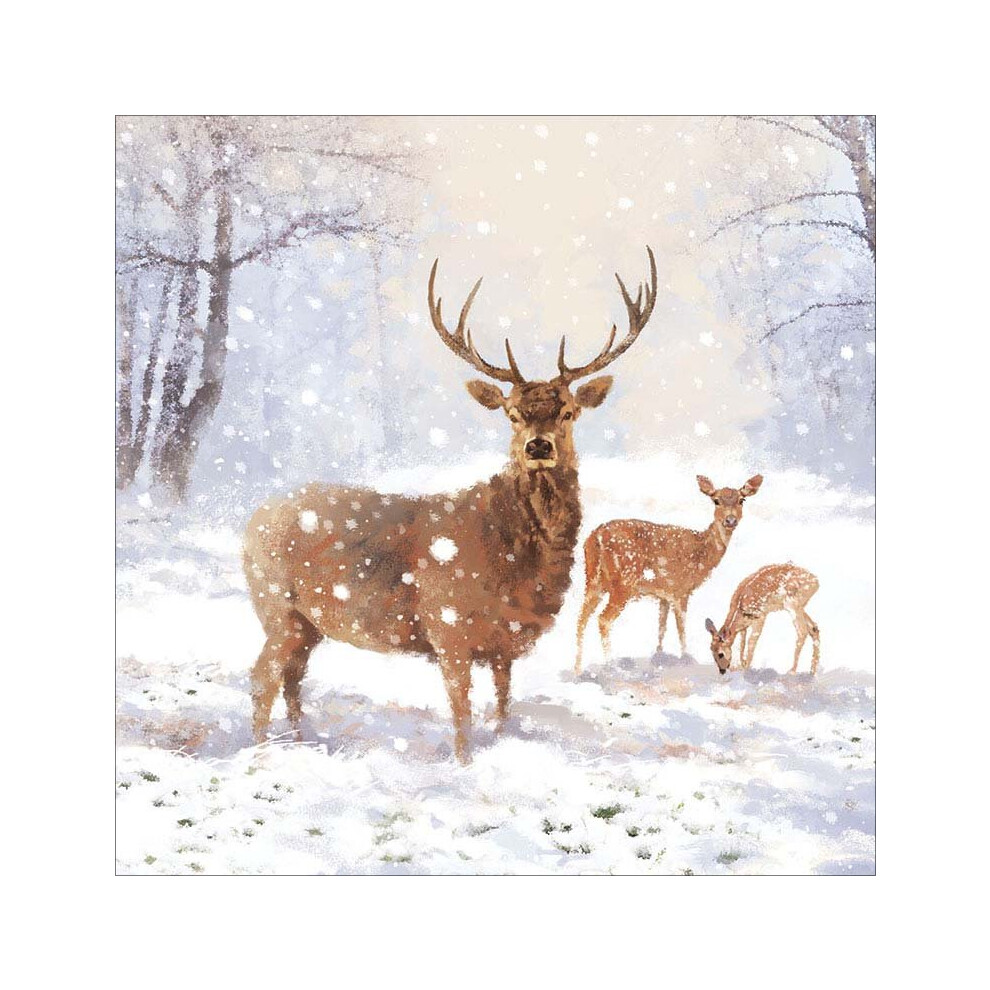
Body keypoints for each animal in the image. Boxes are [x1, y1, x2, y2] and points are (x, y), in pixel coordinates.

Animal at [243, 248, 659, 762]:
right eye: (512, 413)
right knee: (262, 677)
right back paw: (261, 755)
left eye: (567, 411)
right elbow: (461, 712)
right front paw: (464, 763)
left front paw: (501, 742)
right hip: (276, 607)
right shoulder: (449, 626)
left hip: (306, 623)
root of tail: (251, 522)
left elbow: (502, 703)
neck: (515, 562)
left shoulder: (504, 642)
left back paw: (301, 744)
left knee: (292, 677)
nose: (538, 446)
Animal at [575, 474, 763, 673]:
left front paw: (659, 656)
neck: (702, 554)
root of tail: (596, 537)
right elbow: (681, 627)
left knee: (581, 618)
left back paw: (577, 667)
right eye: (716, 500)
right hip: (623, 583)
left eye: (741, 500)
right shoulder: (681, 589)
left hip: (594, 580)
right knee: (603, 619)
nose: (730, 520)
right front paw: (686, 657)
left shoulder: (664, 594)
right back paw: (611, 664)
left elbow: (661, 627)